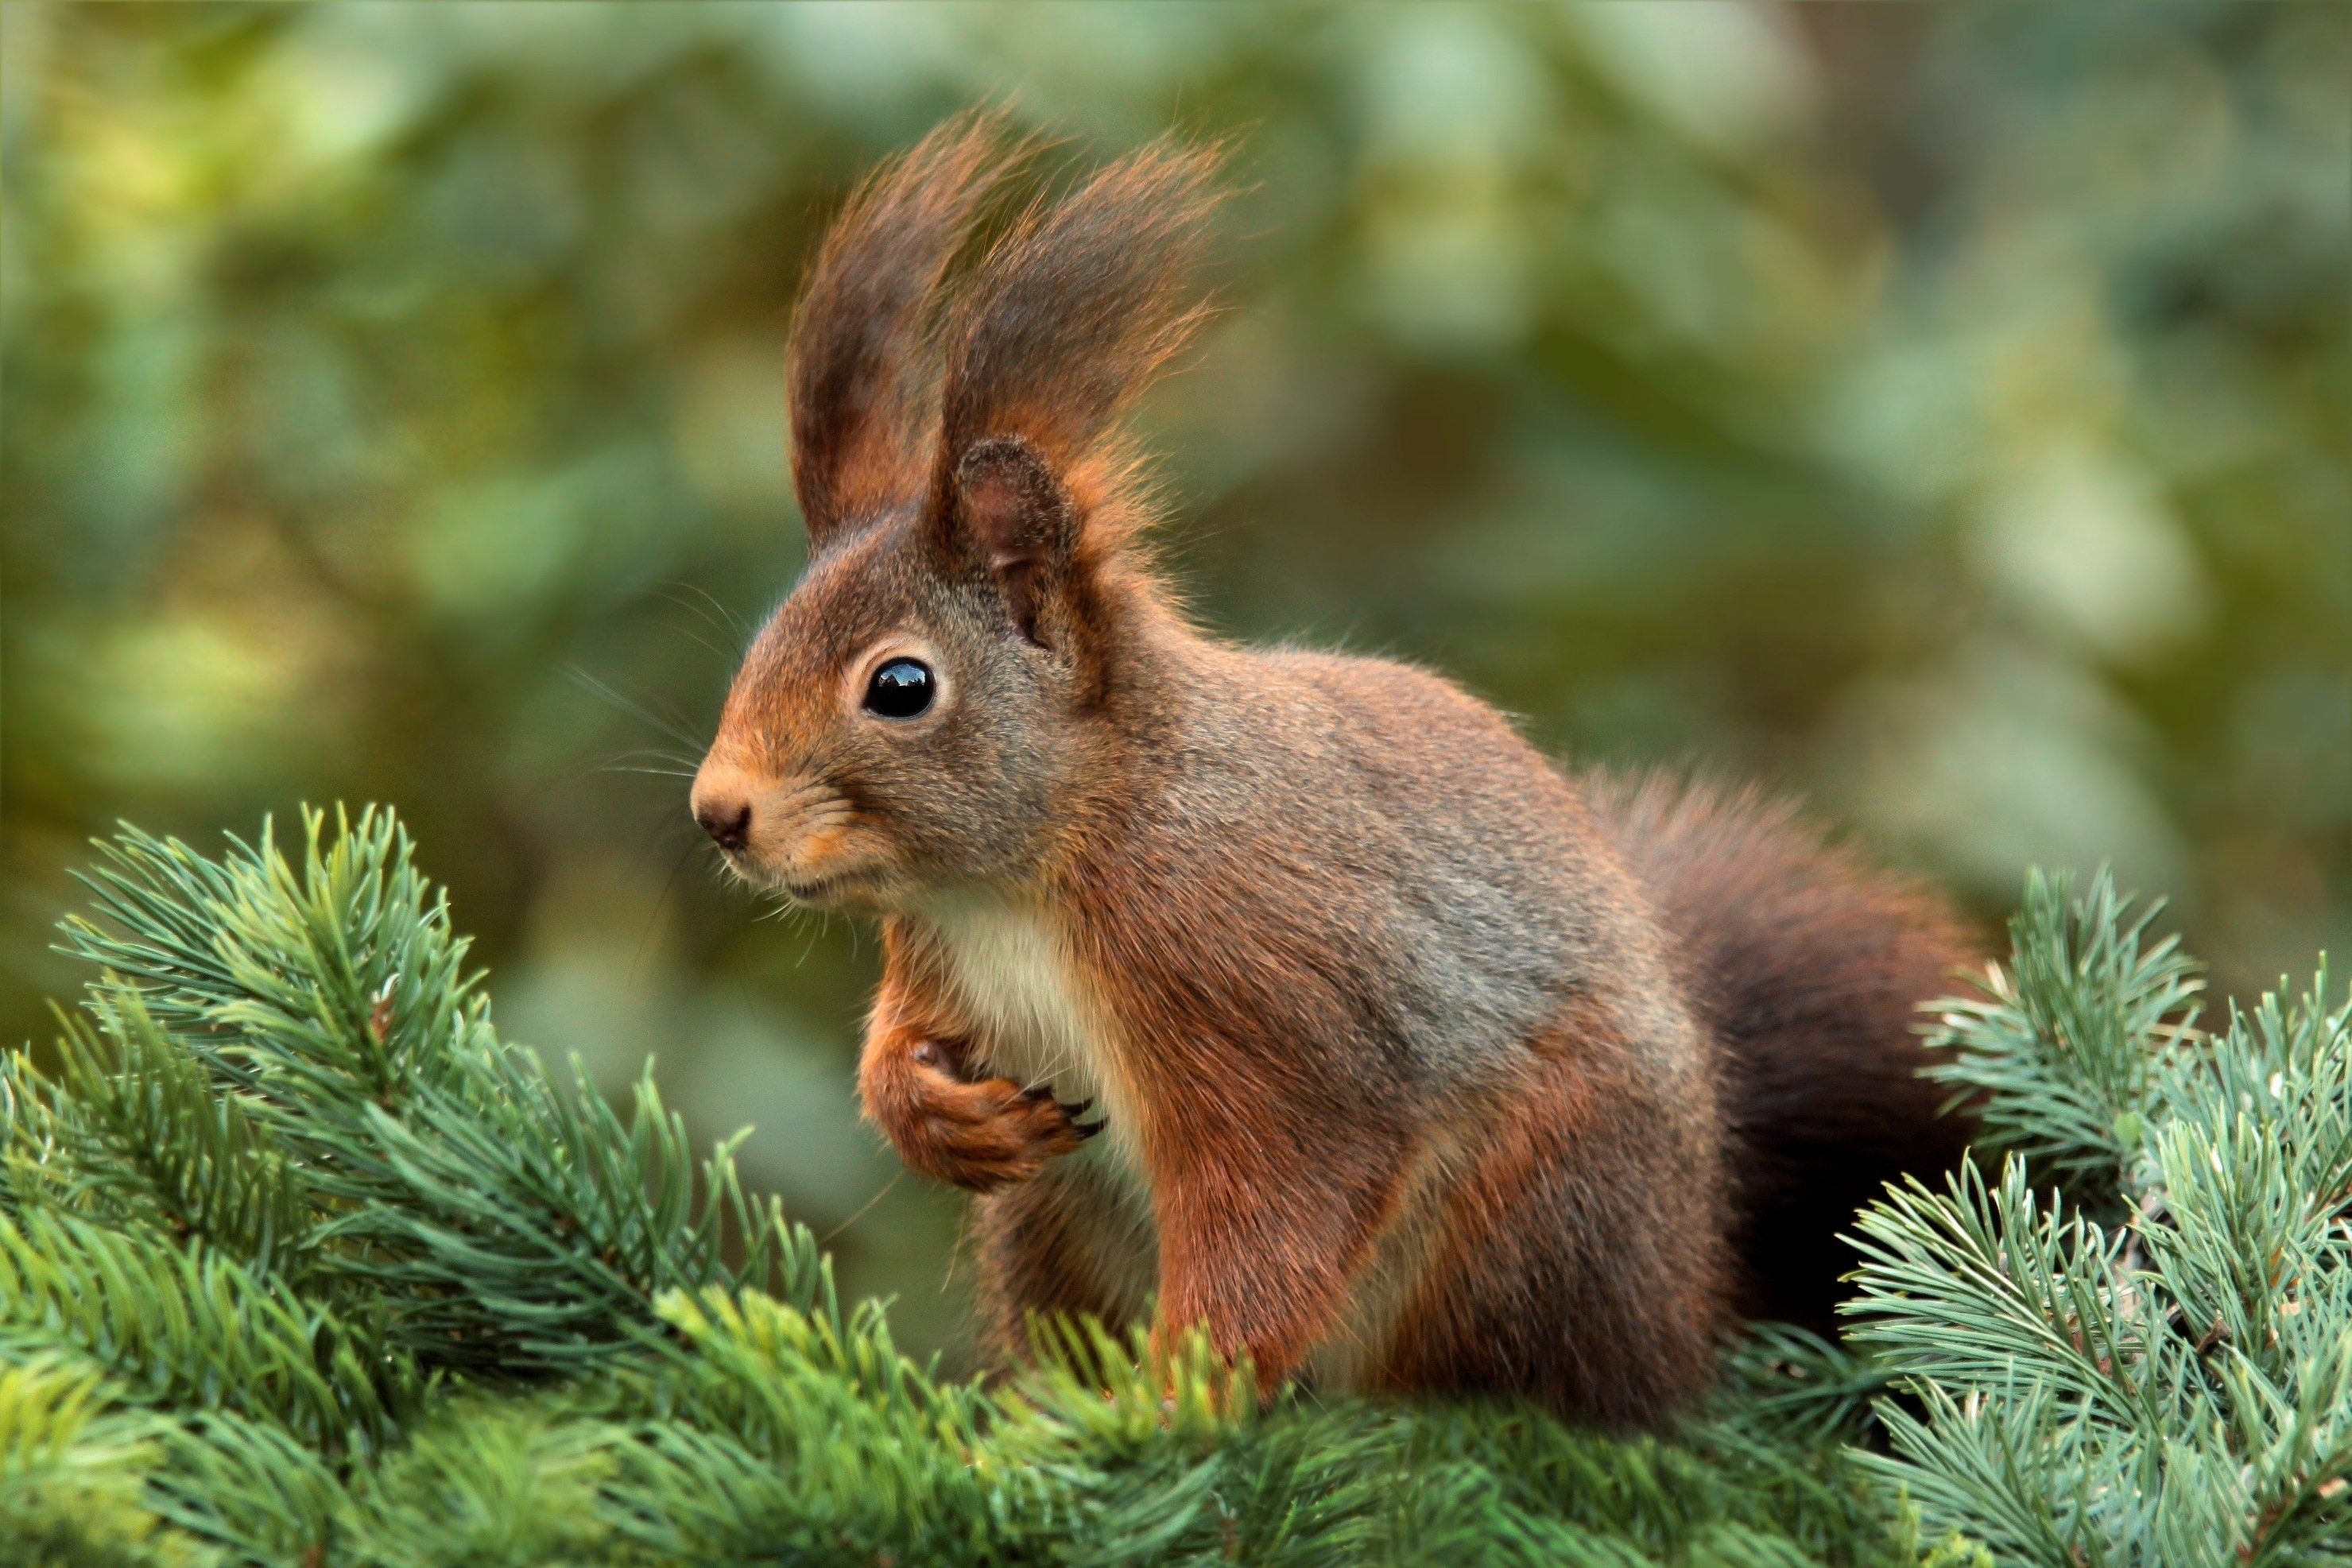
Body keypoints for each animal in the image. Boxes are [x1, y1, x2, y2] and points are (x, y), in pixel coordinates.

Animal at [687, 116, 1975, 1429]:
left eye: (900, 687)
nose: (718, 813)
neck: (1028, 875)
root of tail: (1685, 1288)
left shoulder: (1255, 991)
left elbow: (1277, 1204)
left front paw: (1172, 1405)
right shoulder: (936, 955)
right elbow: (896, 1043)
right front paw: (933, 1113)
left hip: (1535, 1204)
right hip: (1051, 1222)